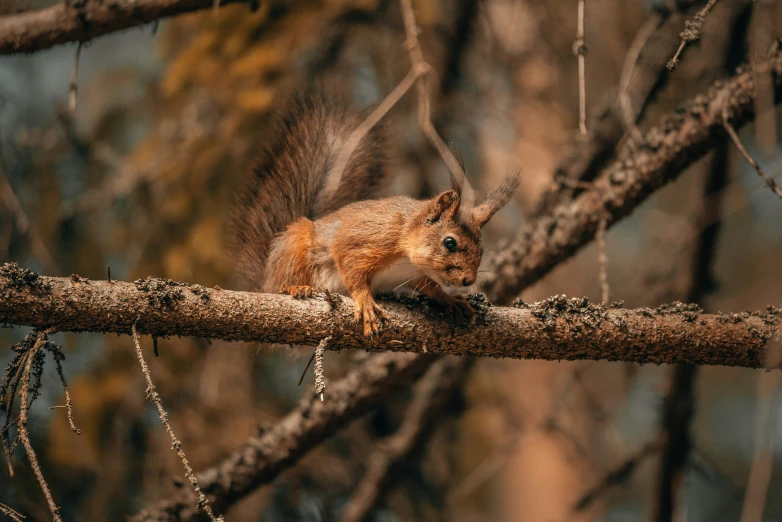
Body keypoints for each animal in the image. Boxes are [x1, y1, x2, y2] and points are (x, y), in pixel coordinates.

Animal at [233, 88, 520, 334]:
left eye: (482, 248)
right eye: (450, 242)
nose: (468, 280)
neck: (406, 246)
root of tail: (266, 276)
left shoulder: (416, 275)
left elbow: (429, 287)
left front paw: (452, 300)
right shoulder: (365, 241)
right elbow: (352, 270)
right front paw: (366, 302)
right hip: (295, 247)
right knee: (281, 282)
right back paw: (295, 287)